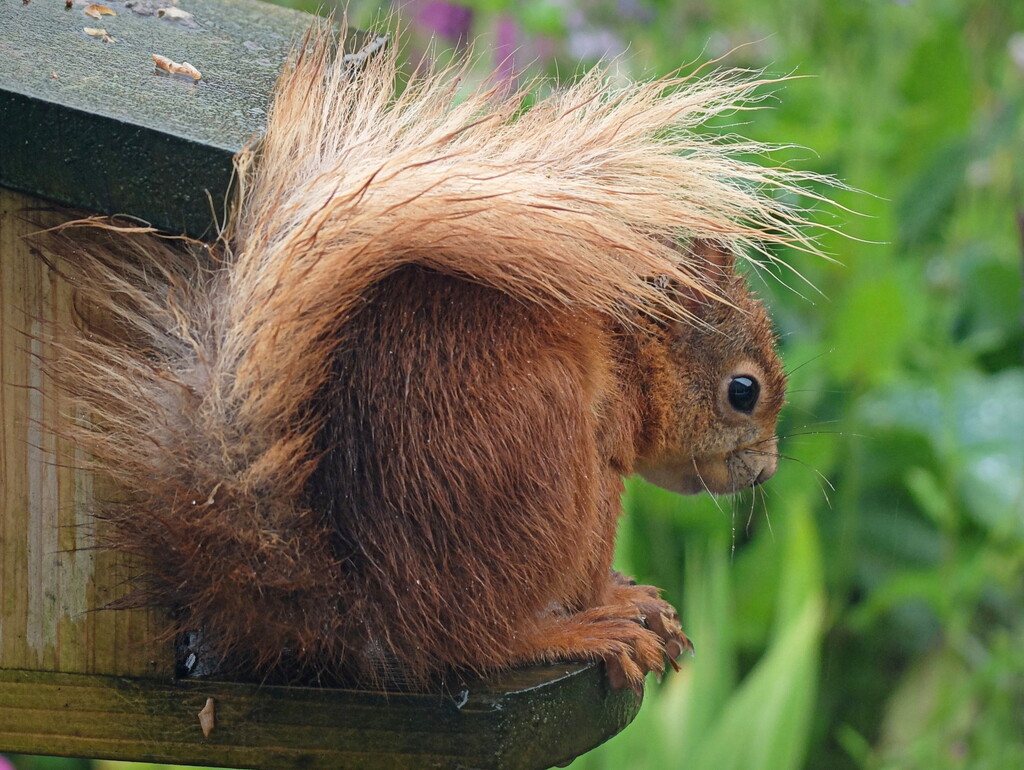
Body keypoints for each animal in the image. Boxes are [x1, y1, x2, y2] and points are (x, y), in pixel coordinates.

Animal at [46, 24, 815, 688]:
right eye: (742, 391)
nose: (767, 471)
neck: (630, 340)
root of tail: (376, 616)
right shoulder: (612, 432)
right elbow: (592, 567)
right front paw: (617, 599)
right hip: (557, 470)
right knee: (485, 641)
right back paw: (576, 630)